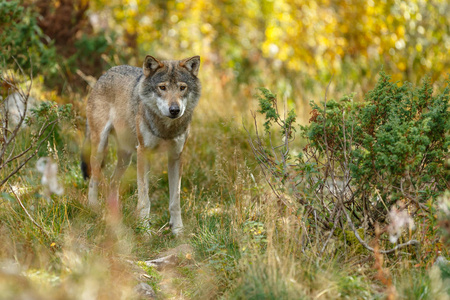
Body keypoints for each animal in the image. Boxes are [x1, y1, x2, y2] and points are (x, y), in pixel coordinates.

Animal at [80, 55, 200, 234]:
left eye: (182, 88)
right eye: (162, 87)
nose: (174, 110)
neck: (166, 128)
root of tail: (106, 73)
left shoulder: (176, 157)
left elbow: (175, 200)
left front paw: (178, 230)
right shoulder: (144, 153)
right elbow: (145, 199)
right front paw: (144, 230)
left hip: (126, 157)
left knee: (112, 182)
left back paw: (115, 215)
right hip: (101, 148)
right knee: (94, 178)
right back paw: (93, 208)